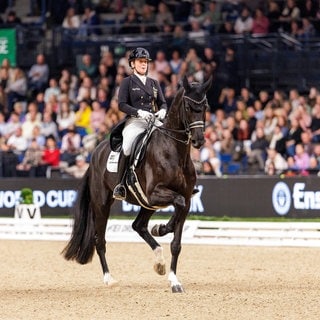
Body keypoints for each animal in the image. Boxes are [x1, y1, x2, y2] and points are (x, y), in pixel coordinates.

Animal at [62, 75, 212, 292]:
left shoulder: (184, 198)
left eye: (205, 106)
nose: (199, 141)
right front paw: (162, 228)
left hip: (146, 204)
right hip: (102, 203)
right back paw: (109, 278)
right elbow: (177, 203)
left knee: (138, 226)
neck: (174, 152)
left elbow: (176, 242)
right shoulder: (155, 193)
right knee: (100, 240)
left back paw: (159, 262)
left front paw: (174, 280)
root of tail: (96, 152)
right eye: (188, 106)